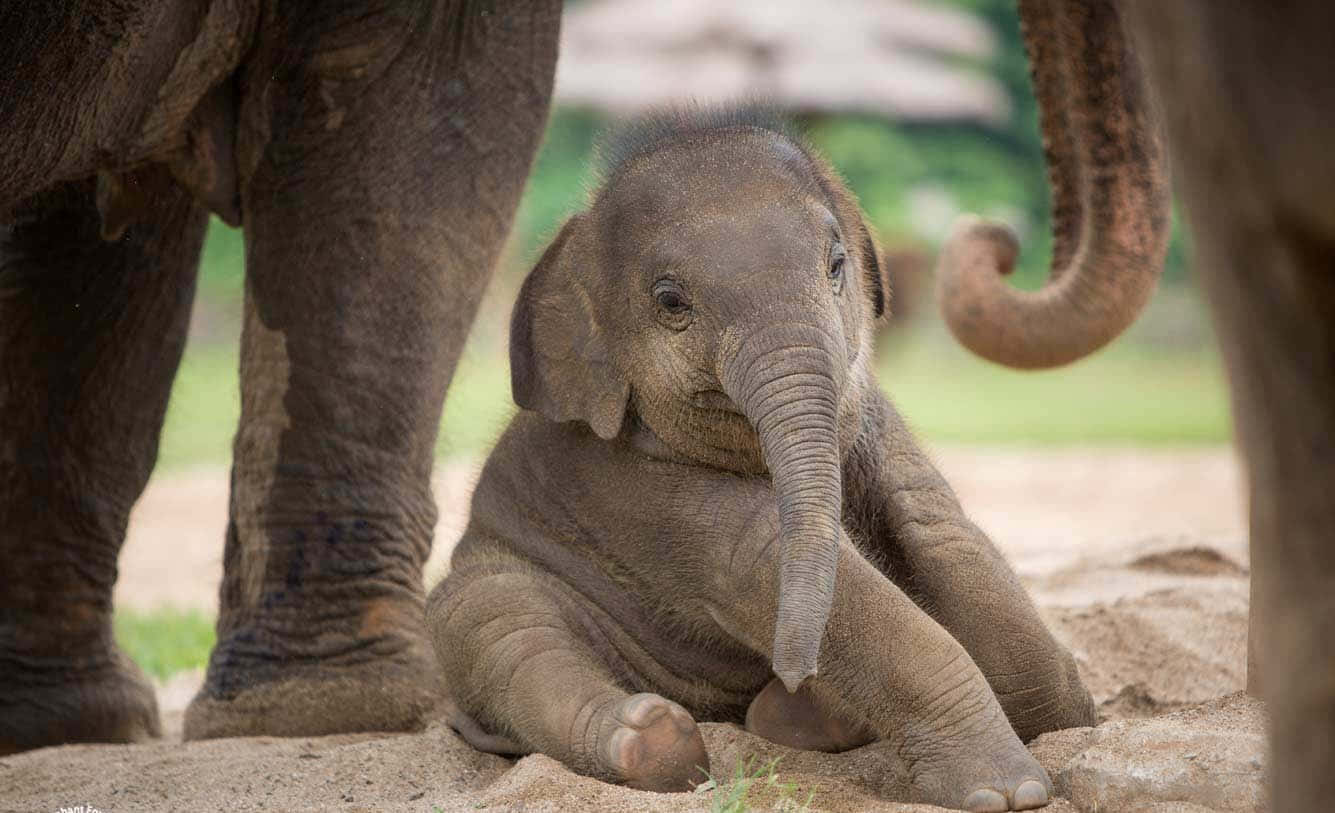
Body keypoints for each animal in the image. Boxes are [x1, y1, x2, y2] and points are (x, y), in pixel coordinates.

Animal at [427, 108, 1096, 812]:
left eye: (837, 264)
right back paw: (651, 739)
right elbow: (773, 565)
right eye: (671, 302)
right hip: (484, 593)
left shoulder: (876, 422)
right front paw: (1009, 791)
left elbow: (942, 531)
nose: (795, 668)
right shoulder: (642, 497)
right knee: (507, 635)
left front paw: (1062, 724)